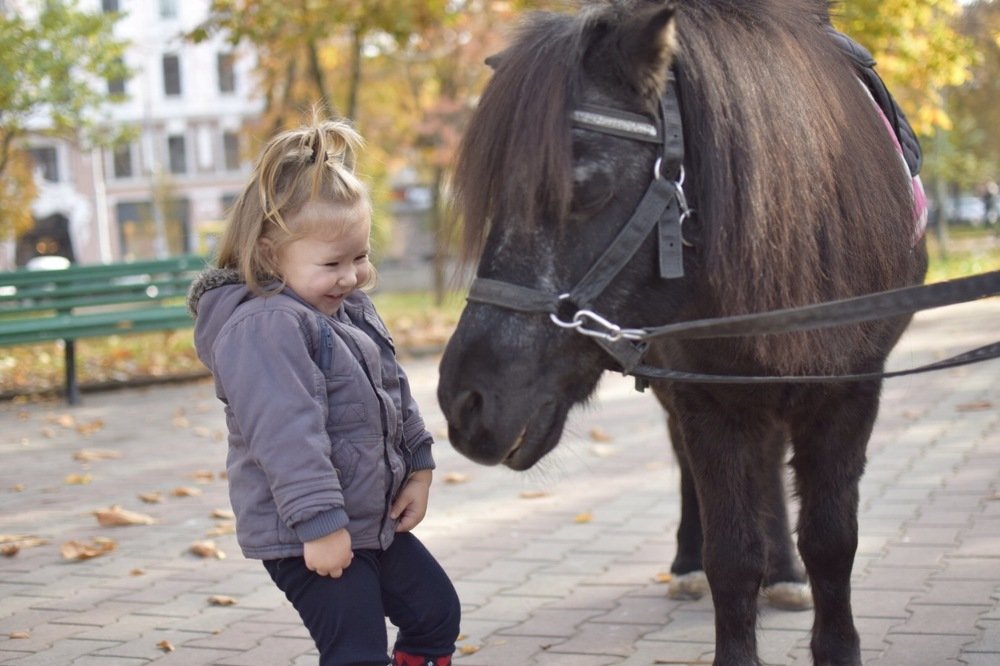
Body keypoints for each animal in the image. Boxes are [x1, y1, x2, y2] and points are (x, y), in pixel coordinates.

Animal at [436, 0, 928, 664]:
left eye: (585, 189)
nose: (465, 400)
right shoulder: (705, 394)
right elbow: (732, 556)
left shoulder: (850, 390)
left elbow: (831, 542)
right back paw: (693, 564)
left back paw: (786, 574)